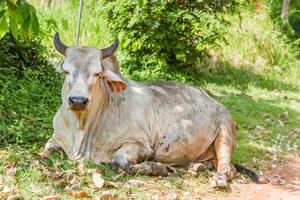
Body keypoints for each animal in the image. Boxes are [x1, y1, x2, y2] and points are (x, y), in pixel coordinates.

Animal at [41, 32, 258, 188]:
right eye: (66, 71)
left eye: (97, 73)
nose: (78, 100)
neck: (81, 129)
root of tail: (213, 100)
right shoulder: (56, 139)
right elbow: (45, 152)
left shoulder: (140, 145)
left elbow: (119, 163)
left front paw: (158, 167)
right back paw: (196, 167)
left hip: (225, 132)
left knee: (228, 167)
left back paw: (218, 179)